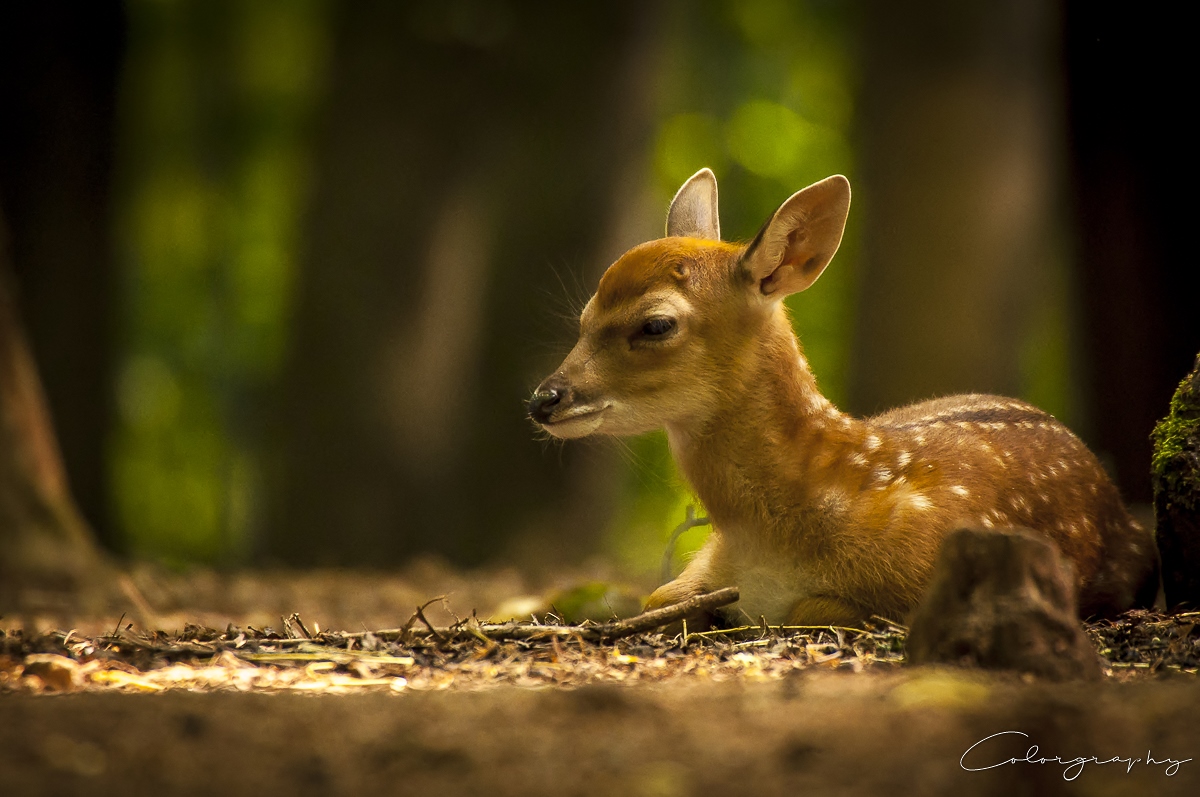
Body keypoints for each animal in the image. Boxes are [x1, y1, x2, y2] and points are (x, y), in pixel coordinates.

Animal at [528, 169, 1161, 628]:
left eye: (656, 324)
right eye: (584, 317)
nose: (544, 399)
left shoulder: (927, 576)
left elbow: (808, 608)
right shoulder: (705, 558)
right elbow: (656, 597)